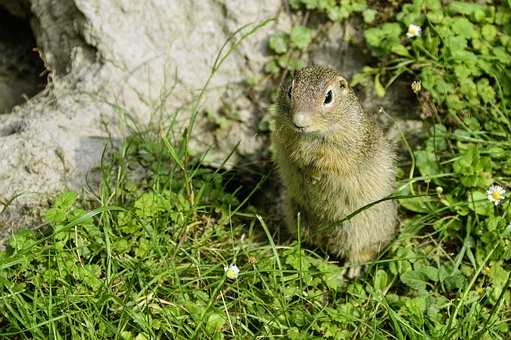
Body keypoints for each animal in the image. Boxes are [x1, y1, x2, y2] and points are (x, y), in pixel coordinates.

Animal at [274, 65, 398, 278]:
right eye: (290, 90)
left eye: (328, 97)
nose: (299, 121)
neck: (310, 136)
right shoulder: (283, 133)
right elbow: (289, 150)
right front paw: (300, 163)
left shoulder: (345, 148)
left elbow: (330, 162)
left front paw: (313, 173)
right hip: (295, 213)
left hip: (361, 228)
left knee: (363, 251)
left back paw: (351, 270)